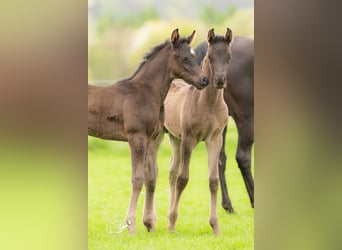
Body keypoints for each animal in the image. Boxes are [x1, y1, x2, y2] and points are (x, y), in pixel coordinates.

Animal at [88, 29, 208, 234]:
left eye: (195, 56)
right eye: (184, 58)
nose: (204, 80)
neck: (146, 92)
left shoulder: (152, 138)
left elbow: (150, 177)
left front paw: (150, 224)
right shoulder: (136, 137)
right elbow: (137, 178)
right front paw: (131, 225)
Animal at [165, 29, 232, 234]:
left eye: (229, 57)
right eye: (210, 57)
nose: (219, 80)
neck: (209, 104)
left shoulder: (214, 139)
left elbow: (213, 181)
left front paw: (216, 226)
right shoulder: (189, 138)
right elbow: (183, 178)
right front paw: (172, 223)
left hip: (175, 139)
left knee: (171, 170)